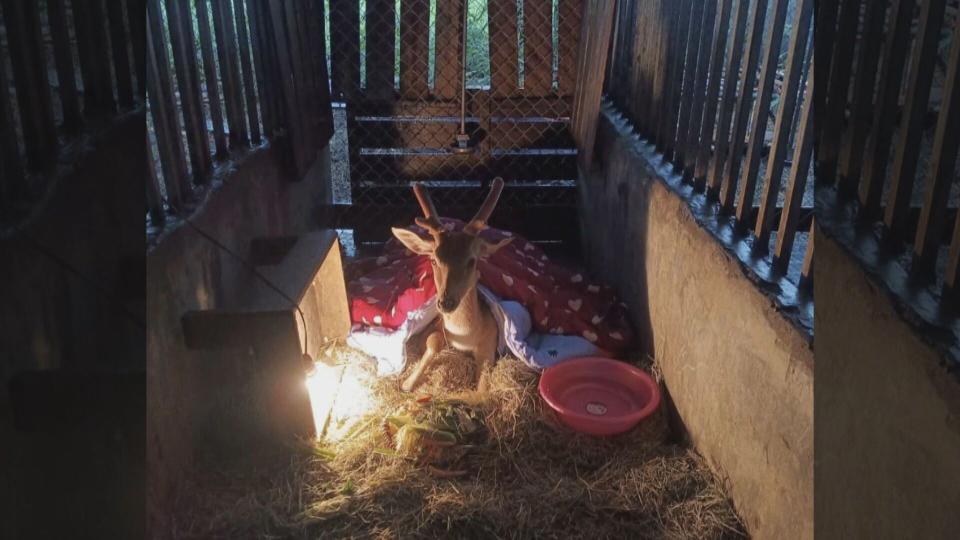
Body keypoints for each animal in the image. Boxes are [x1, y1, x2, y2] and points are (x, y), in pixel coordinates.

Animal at [390, 177, 512, 392]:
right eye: (433, 260)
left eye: (472, 261)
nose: (446, 303)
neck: (466, 337)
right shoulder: (436, 325)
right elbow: (434, 340)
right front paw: (407, 383)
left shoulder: (491, 342)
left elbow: (482, 389)